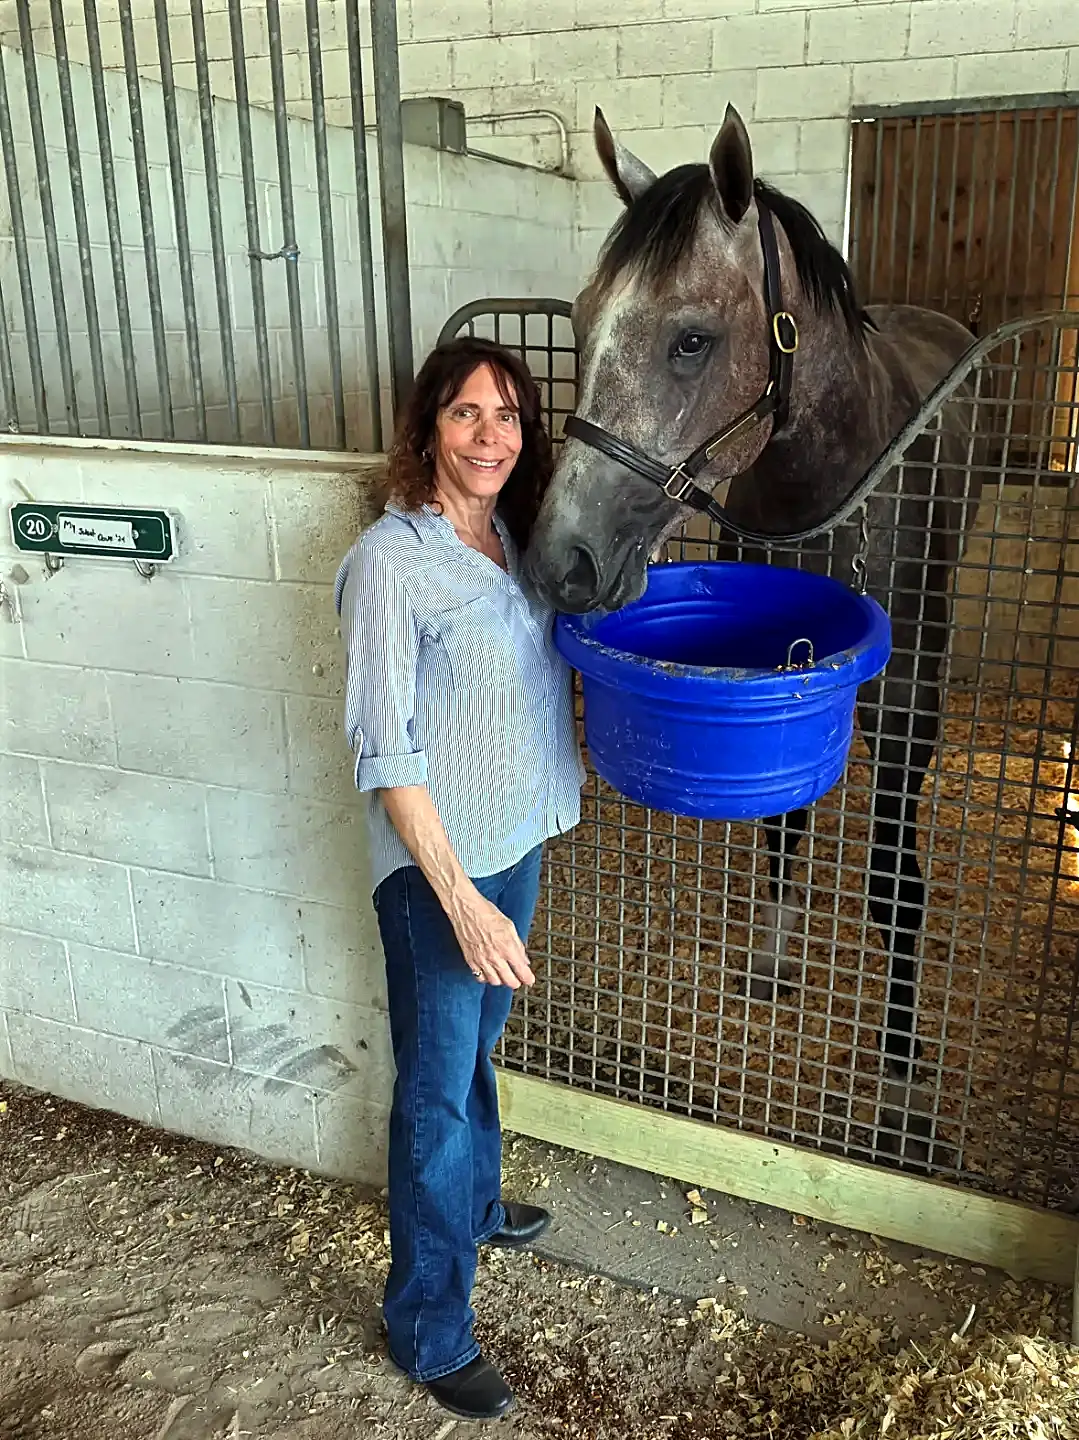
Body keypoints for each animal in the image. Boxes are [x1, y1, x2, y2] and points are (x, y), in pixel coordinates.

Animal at [524, 104, 984, 1163]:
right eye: (580, 320)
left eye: (691, 340)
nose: (560, 562)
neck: (833, 481)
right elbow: (780, 825)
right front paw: (773, 959)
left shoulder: (901, 698)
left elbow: (895, 883)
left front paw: (901, 1085)